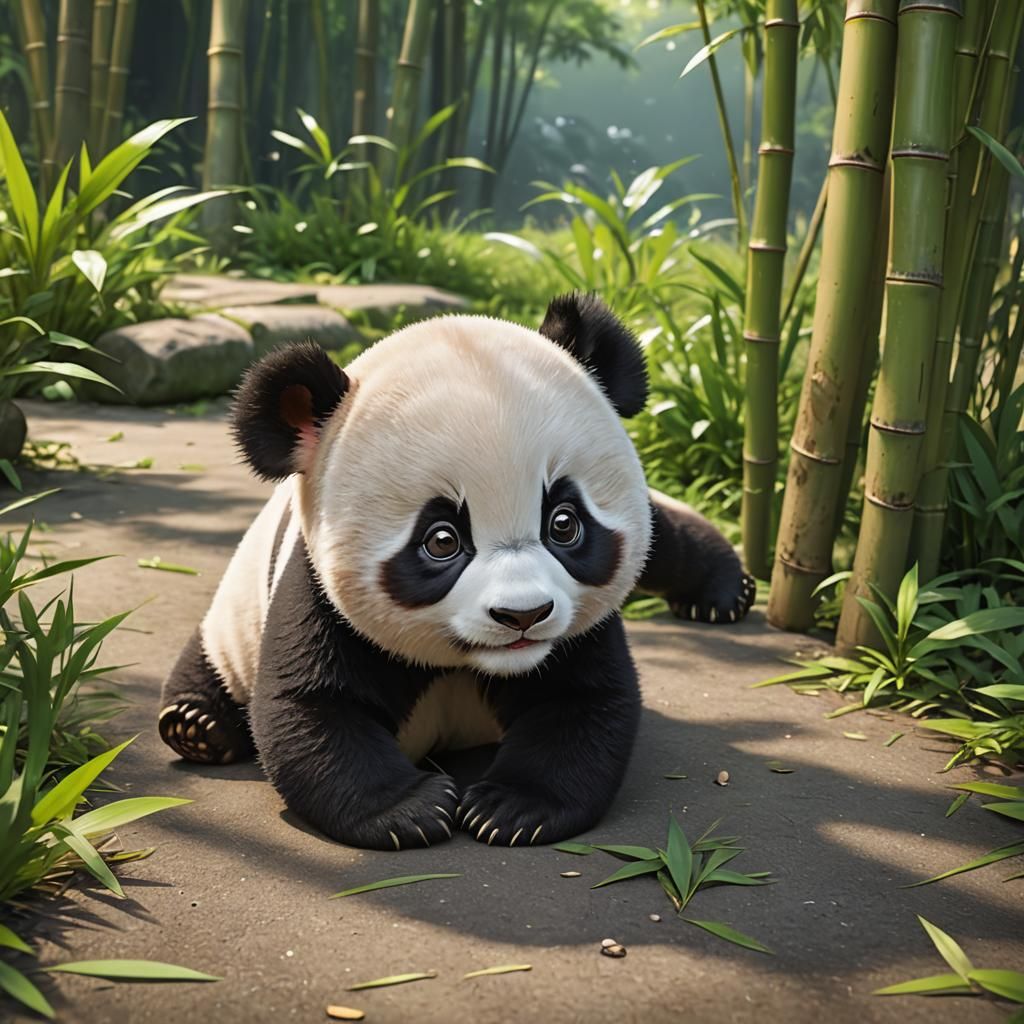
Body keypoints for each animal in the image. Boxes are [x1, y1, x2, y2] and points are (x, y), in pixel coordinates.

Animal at [158, 293, 755, 850]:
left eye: (563, 524)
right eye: (442, 541)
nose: (523, 615)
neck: (474, 662)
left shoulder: (578, 629)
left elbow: (583, 700)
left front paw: (511, 809)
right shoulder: (316, 590)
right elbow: (311, 706)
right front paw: (410, 811)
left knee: (666, 536)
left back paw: (725, 593)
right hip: (236, 615)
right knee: (212, 658)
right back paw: (196, 727)